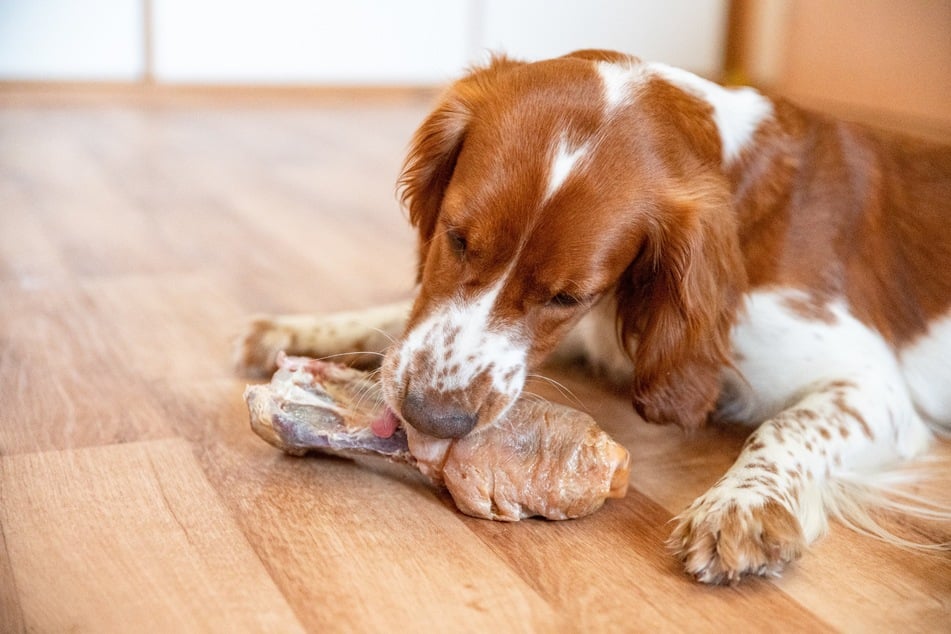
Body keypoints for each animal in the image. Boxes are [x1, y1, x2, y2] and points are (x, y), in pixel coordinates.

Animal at [234, 50, 948, 584]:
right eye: (456, 238)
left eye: (567, 296)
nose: (432, 418)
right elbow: (393, 324)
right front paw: (304, 330)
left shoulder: (872, 384)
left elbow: (789, 426)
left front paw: (742, 504)